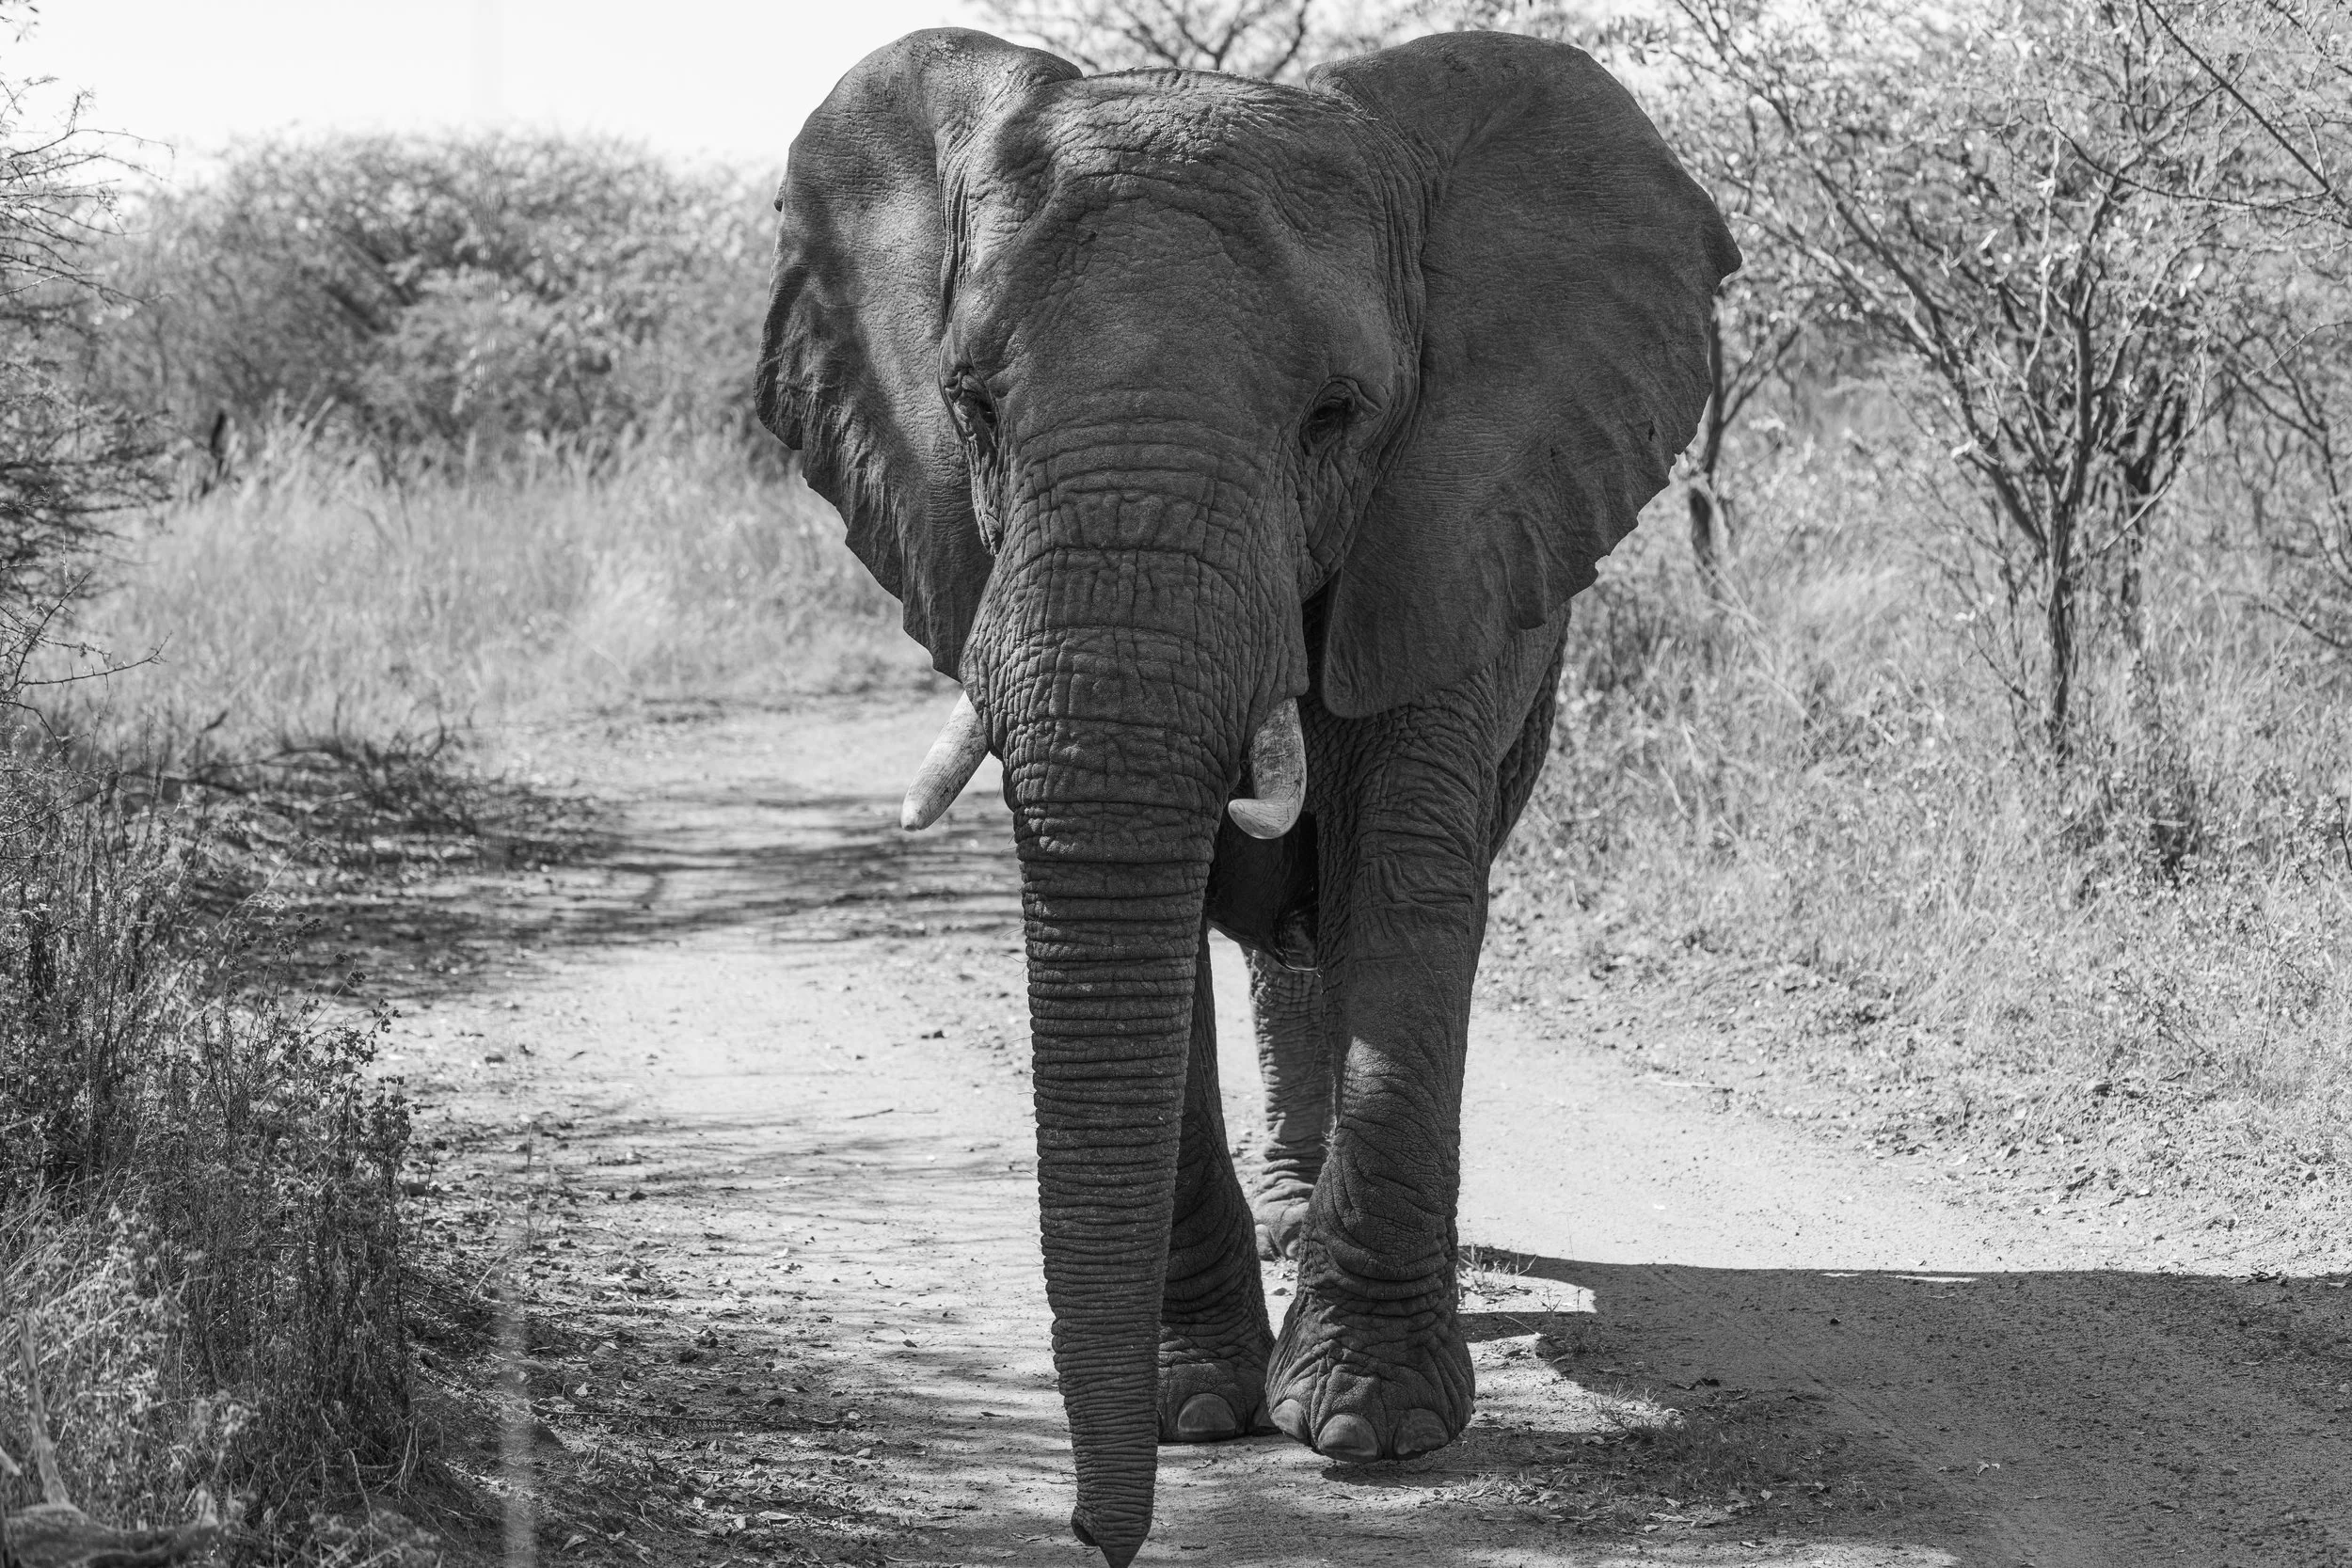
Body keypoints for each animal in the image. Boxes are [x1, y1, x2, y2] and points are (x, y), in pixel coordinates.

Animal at [755, 28, 1735, 1566]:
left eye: (1337, 417)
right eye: (970, 406)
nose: (1104, 1540)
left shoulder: (1449, 520)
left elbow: (1403, 881)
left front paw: (1368, 1429)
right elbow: (1154, 912)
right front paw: (1196, 1409)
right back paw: (1285, 1222)